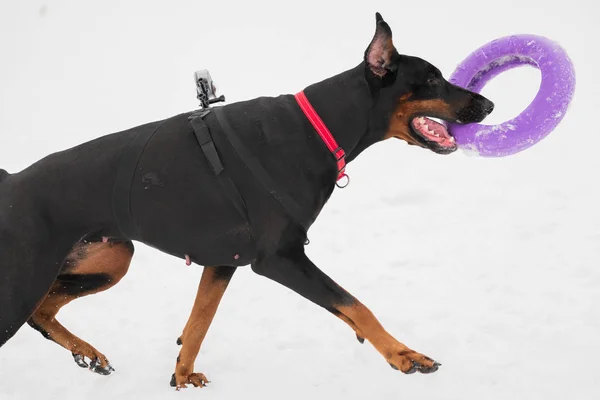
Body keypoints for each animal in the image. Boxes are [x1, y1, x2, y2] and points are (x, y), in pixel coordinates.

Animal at [0, 12, 492, 388]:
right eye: (432, 79)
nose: (487, 106)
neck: (319, 126)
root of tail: (11, 182)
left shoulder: (223, 262)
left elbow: (198, 325)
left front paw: (182, 377)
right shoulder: (278, 257)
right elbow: (356, 305)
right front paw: (405, 356)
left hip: (111, 256)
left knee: (43, 311)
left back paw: (89, 354)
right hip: (25, 281)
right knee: (32, 311)